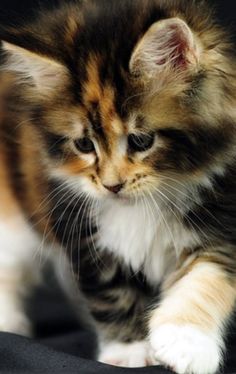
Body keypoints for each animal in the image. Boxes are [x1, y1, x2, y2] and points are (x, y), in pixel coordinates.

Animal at [0, 0, 236, 374]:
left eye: (141, 141)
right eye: (84, 145)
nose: (112, 185)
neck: (145, 204)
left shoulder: (220, 220)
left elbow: (205, 281)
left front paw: (186, 345)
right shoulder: (84, 232)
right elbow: (112, 293)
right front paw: (131, 352)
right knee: (9, 267)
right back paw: (9, 321)